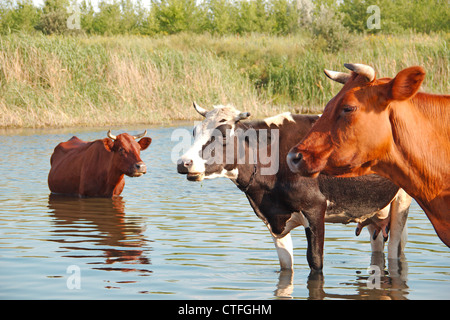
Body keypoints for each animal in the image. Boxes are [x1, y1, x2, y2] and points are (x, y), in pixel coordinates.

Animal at [176, 103, 412, 272]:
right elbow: (285, 265)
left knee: (395, 249)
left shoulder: (315, 209)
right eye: (195, 131)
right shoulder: (273, 218)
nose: (183, 162)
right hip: (375, 208)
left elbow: (315, 261)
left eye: (223, 134)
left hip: (403, 199)